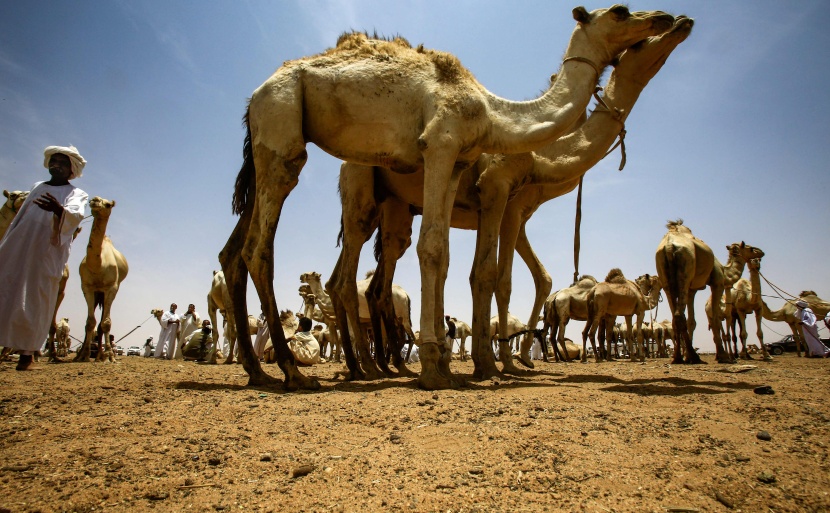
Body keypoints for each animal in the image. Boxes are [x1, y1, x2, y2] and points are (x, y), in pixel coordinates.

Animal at [75, 196, 128, 360]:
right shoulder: (86, 286)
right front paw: (83, 355)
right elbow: (89, 322)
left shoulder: (112, 287)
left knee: (101, 324)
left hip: (105, 292)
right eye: (93, 199)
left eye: (108, 204)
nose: (95, 200)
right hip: (97, 293)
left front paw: (109, 355)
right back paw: (88, 353)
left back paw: (100, 355)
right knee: (92, 323)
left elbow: (105, 323)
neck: (97, 265)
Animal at [218, 5, 680, 388]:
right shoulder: (452, 152)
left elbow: (454, 261)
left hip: (281, 153)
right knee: (268, 249)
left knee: (240, 252)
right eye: (620, 12)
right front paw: (442, 369)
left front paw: (452, 362)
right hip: (288, 127)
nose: (669, 19)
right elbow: (441, 252)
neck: (495, 116)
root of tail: (254, 96)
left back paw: (269, 370)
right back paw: (304, 372)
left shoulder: (461, 165)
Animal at [656, 220, 768, 364]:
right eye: (750, 248)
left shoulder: (692, 289)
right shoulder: (717, 282)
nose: (761, 252)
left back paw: (678, 357)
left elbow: (692, 321)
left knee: (675, 316)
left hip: (665, 279)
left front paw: (686, 356)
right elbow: (715, 318)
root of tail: (669, 246)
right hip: (685, 269)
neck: (725, 271)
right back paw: (694, 356)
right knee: (679, 315)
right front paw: (723, 356)